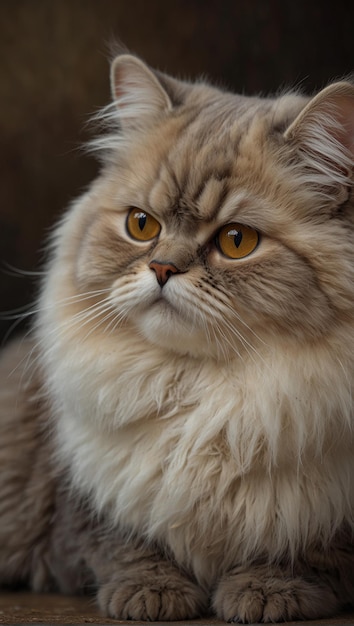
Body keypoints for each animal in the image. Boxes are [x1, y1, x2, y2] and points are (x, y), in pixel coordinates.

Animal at [0, 52, 354, 620]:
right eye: (142, 225)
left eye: (237, 241)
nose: (163, 268)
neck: (203, 394)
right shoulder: (89, 506)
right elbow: (129, 547)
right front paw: (154, 596)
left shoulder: (331, 517)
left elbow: (306, 554)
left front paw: (264, 594)